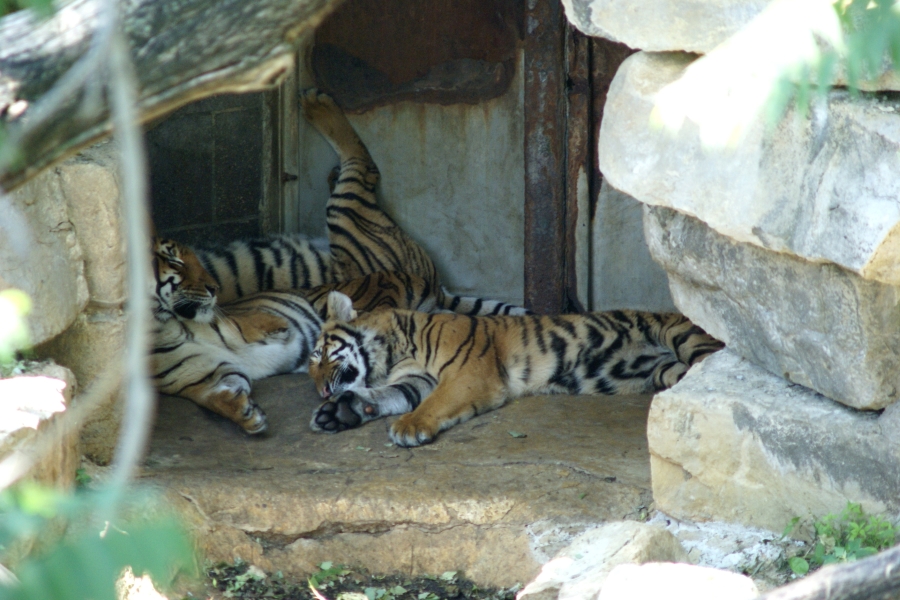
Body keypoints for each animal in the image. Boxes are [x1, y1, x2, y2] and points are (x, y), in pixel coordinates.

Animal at [308, 292, 725, 447]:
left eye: (318, 355)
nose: (319, 389)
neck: (396, 352)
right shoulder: (415, 380)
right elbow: (384, 395)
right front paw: (340, 412)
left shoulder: (469, 375)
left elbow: (434, 404)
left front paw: (409, 427)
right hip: (666, 371)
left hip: (684, 338)